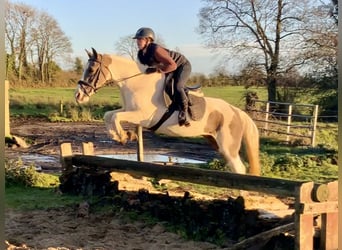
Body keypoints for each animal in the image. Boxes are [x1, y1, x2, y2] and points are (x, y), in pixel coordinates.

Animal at [75, 48, 260, 176]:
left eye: (91, 70)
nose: (78, 96)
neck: (136, 83)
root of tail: (237, 112)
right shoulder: (129, 110)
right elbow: (109, 115)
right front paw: (121, 136)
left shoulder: (143, 116)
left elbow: (116, 116)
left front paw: (124, 136)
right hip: (216, 142)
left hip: (228, 146)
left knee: (239, 168)